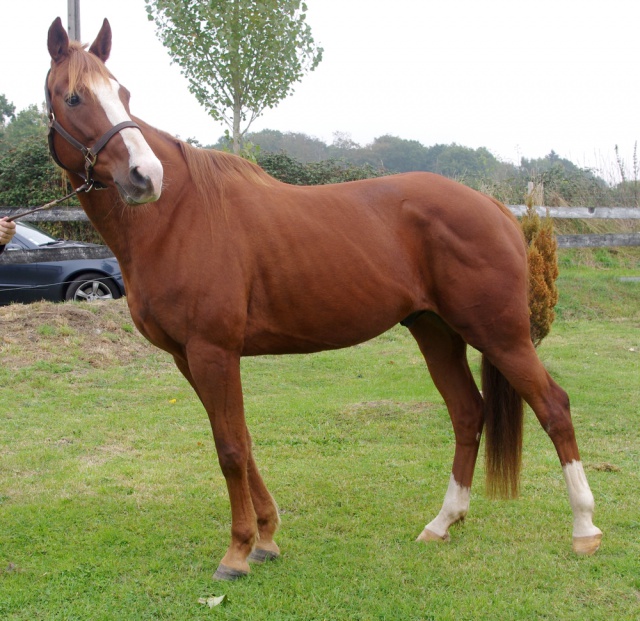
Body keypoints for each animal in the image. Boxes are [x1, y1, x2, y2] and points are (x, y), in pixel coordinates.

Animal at [45, 18, 600, 580]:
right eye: (73, 97)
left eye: (123, 94)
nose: (145, 176)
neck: (178, 215)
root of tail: (493, 207)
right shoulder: (189, 358)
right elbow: (243, 442)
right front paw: (266, 538)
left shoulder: (212, 352)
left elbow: (229, 449)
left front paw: (237, 552)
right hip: (436, 331)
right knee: (468, 414)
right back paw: (443, 522)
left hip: (500, 335)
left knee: (554, 407)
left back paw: (584, 529)